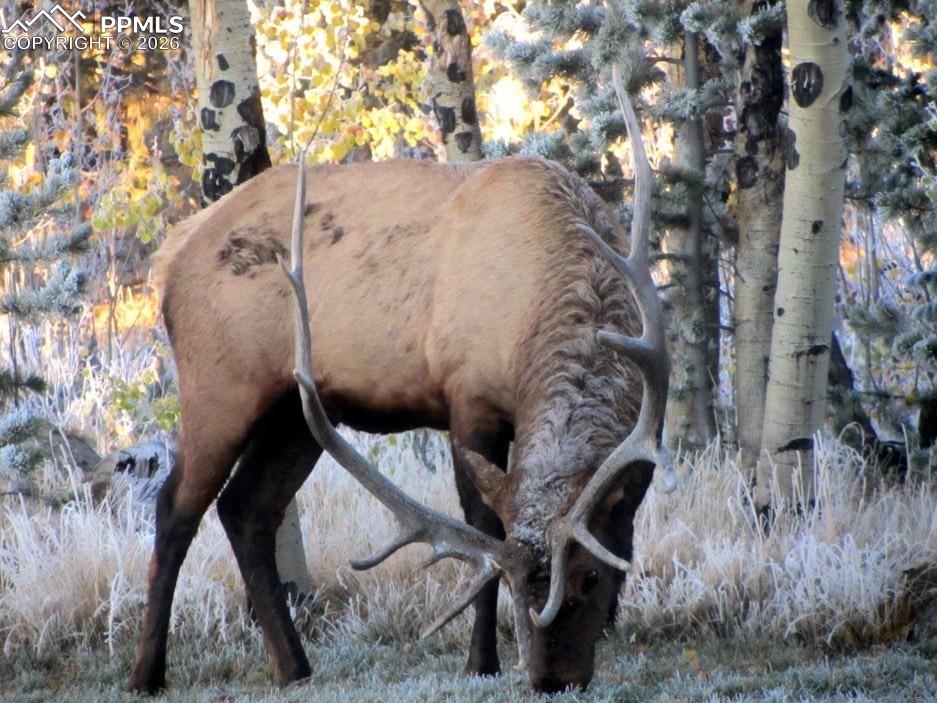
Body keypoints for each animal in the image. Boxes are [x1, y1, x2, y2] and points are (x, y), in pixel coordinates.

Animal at [128, 69, 671, 695]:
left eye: (590, 579)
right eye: (519, 587)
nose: (552, 677)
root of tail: (168, 261)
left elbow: (619, 529)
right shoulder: (468, 397)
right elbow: (482, 528)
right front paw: (479, 662)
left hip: (297, 411)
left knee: (247, 507)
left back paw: (294, 668)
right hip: (218, 384)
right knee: (176, 508)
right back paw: (146, 674)